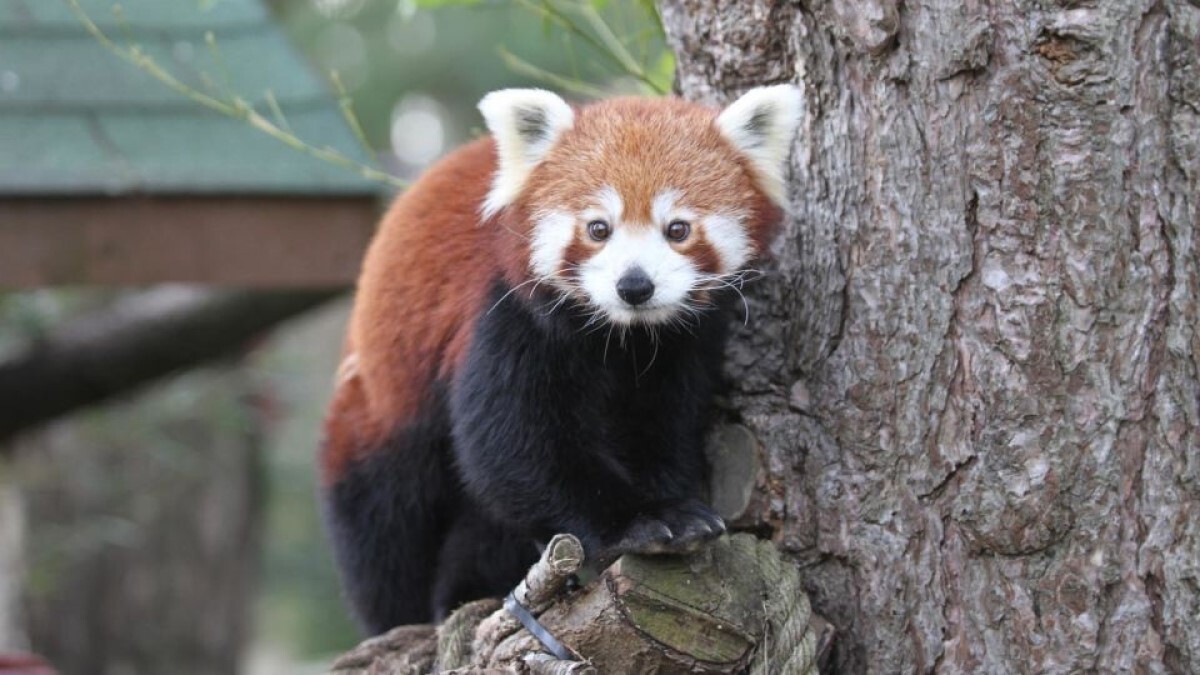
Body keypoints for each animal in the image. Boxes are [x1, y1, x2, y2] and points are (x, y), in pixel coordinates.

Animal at [324, 84, 801, 629]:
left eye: (677, 229)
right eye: (598, 228)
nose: (634, 285)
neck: (620, 336)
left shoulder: (679, 350)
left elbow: (661, 427)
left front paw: (671, 502)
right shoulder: (506, 314)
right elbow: (513, 445)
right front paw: (640, 521)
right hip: (382, 405)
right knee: (384, 519)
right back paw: (410, 612)